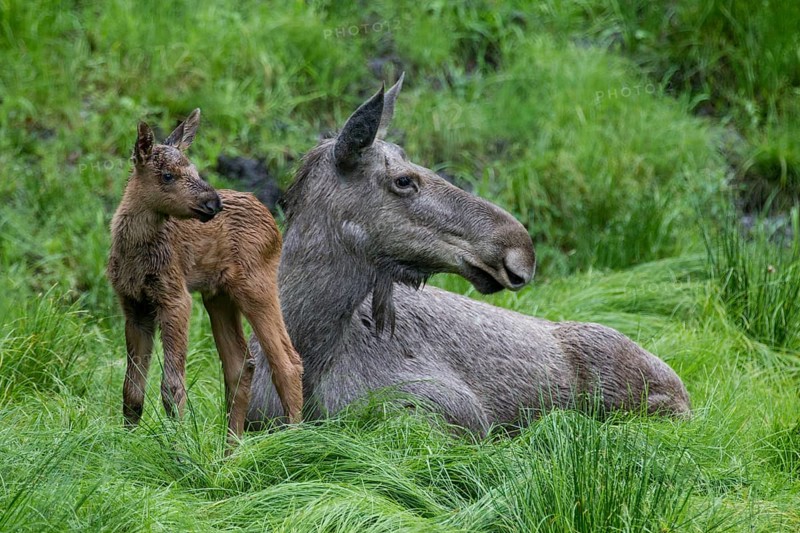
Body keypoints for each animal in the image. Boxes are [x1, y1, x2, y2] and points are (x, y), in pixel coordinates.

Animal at [107, 109, 303, 446]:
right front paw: (125, 447)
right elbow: (131, 392)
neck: (136, 253)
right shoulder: (134, 306)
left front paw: (179, 447)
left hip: (257, 282)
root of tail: (274, 221)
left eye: (195, 170)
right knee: (241, 365)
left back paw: (295, 441)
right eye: (167, 175)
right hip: (219, 295)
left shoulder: (175, 296)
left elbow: (172, 387)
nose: (213, 202)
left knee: (288, 361)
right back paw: (230, 450)